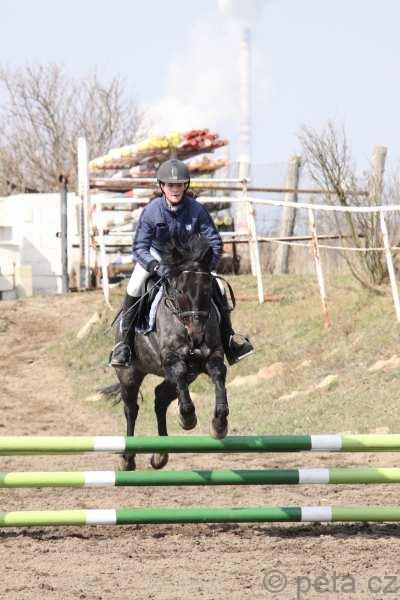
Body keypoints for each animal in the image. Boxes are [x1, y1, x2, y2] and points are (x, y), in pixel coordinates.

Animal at [113, 234, 229, 471]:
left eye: (207, 289)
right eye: (180, 290)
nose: (197, 335)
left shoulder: (211, 356)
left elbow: (218, 376)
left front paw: (219, 423)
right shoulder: (173, 361)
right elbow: (181, 377)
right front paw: (188, 418)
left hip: (182, 375)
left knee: (160, 397)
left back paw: (160, 454)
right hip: (129, 375)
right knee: (131, 409)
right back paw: (127, 459)